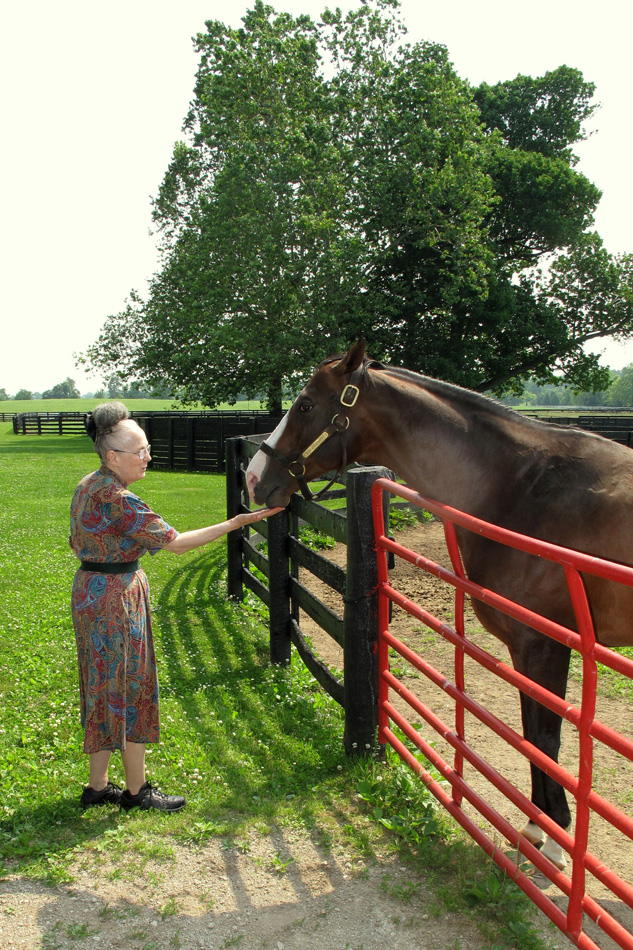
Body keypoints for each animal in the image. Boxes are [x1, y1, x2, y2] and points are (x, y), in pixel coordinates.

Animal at [244, 342, 632, 872]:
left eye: (304, 405)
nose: (252, 478)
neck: (517, 488)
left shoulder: (544, 645)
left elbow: (547, 739)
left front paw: (553, 845)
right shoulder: (525, 649)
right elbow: (532, 735)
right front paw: (536, 830)